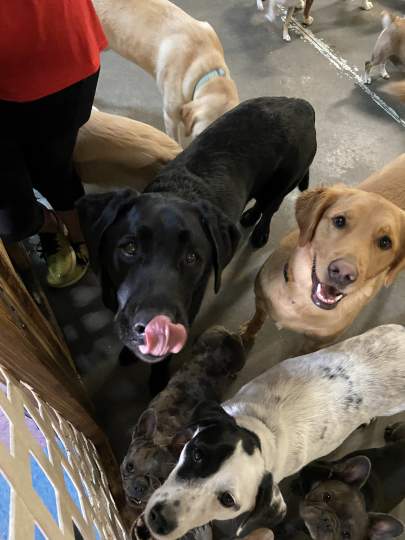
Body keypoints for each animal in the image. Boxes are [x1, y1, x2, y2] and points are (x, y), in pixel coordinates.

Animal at [76, 97, 316, 376]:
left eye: (192, 257)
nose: (156, 327)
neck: (176, 191)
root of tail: (301, 104)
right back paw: (248, 217)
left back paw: (260, 232)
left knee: (270, 208)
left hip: (282, 184)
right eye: (130, 248)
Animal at [240, 154, 404, 346]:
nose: (343, 273)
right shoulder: (261, 301)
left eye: (385, 242)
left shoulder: (318, 343)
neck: (301, 299)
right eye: (339, 221)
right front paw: (246, 336)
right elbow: (256, 321)